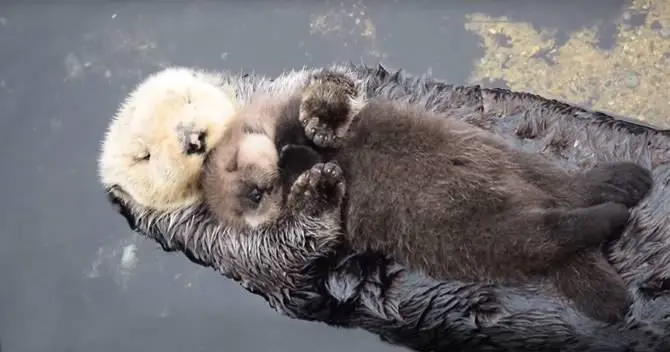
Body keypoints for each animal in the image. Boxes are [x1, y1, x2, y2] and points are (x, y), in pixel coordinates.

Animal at [202, 69, 652, 324]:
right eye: (249, 197)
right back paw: (612, 221)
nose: (260, 186)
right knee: (550, 233)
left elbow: (314, 112)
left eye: (236, 165)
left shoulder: (290, 116)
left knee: (566, 187)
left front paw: (321, 114)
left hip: (510, 161)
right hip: (484, 233)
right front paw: (310, 177)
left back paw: (624, 182)